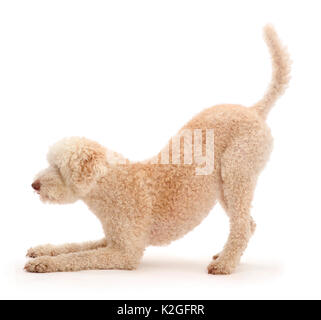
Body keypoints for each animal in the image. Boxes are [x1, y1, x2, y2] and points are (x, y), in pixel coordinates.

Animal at [25, 25, 290, 276]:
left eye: (59, 168)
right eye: (49, 162)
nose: (34, 185)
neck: (111, 185)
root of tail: (254, 110)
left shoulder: (124, 253)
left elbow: (78, 257)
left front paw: (44, 263)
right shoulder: (111, 239)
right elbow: (75, 246)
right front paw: (42, 250)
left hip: (238, 172)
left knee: (241, 226)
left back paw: (224, 263)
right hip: (224, 186)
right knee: (248, 223)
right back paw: (226, 255)